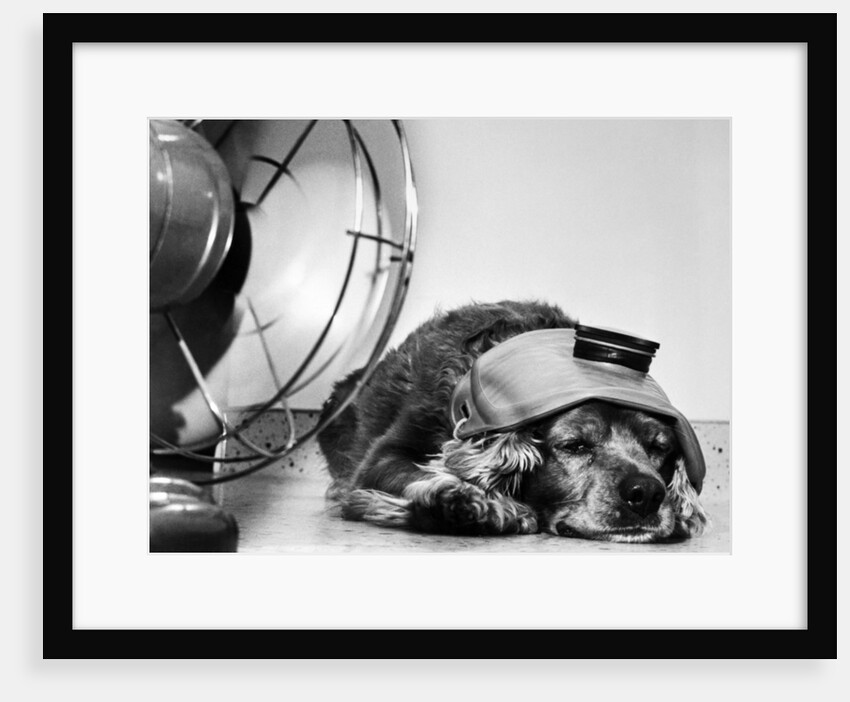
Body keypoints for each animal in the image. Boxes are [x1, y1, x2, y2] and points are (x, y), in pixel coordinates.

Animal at [314, 300, 704, 540]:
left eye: (659, 448)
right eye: (574, 445)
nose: (647, 493)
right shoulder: (381, 457)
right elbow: (413, 472)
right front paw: (468, 500)